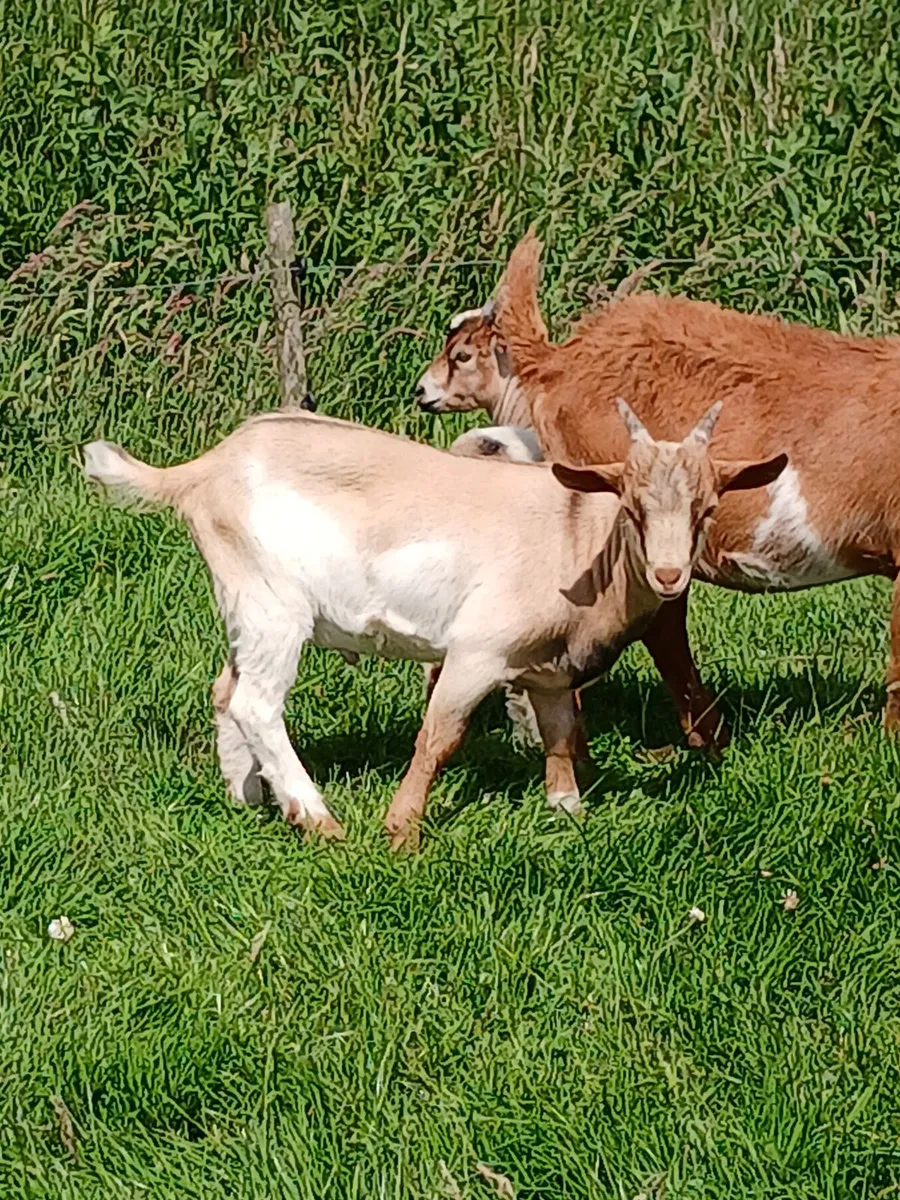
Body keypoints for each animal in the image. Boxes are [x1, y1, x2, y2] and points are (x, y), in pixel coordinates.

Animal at [82, 403, 784, 850]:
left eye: (707, 507)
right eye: (633, 507)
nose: (669, 575)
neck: (577, 541)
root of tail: (204, 469)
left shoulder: (549, 669)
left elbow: (560, 737)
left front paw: (568, 813)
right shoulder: (478, 649)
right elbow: (438, 736)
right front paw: (402, 829)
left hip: (245, 606)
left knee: (226, 691)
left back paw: (249, 797)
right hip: (273, 604)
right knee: (257, 702)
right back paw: (317, 818)